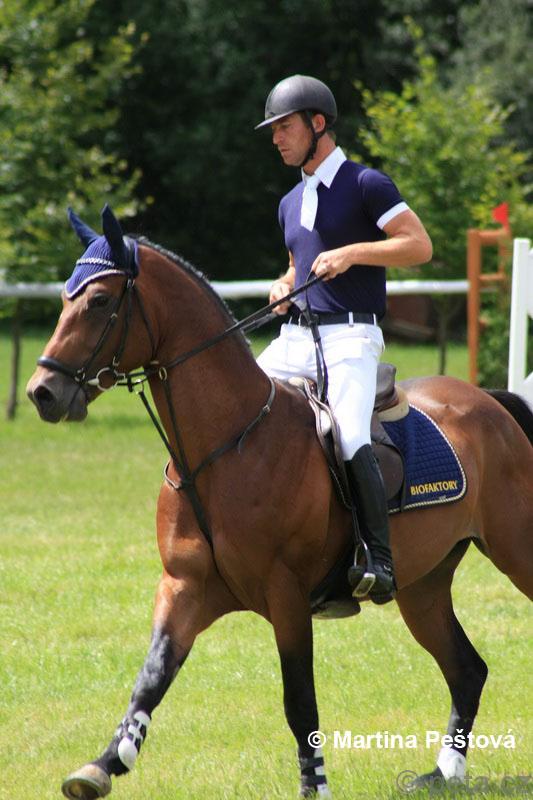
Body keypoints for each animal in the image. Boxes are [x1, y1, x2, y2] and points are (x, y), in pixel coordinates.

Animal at [26, 206, 533, 800]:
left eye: (100, 301)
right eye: (65, 298)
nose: (42, 392)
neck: (222, 451)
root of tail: (489, 402)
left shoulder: (286, 597)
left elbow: (299, 699)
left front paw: (315, 785)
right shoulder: (183, 588)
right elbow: (151, 677)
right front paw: (103, 765)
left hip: (516, 551)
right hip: (423, 586)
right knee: (466, 669)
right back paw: (442, 773)